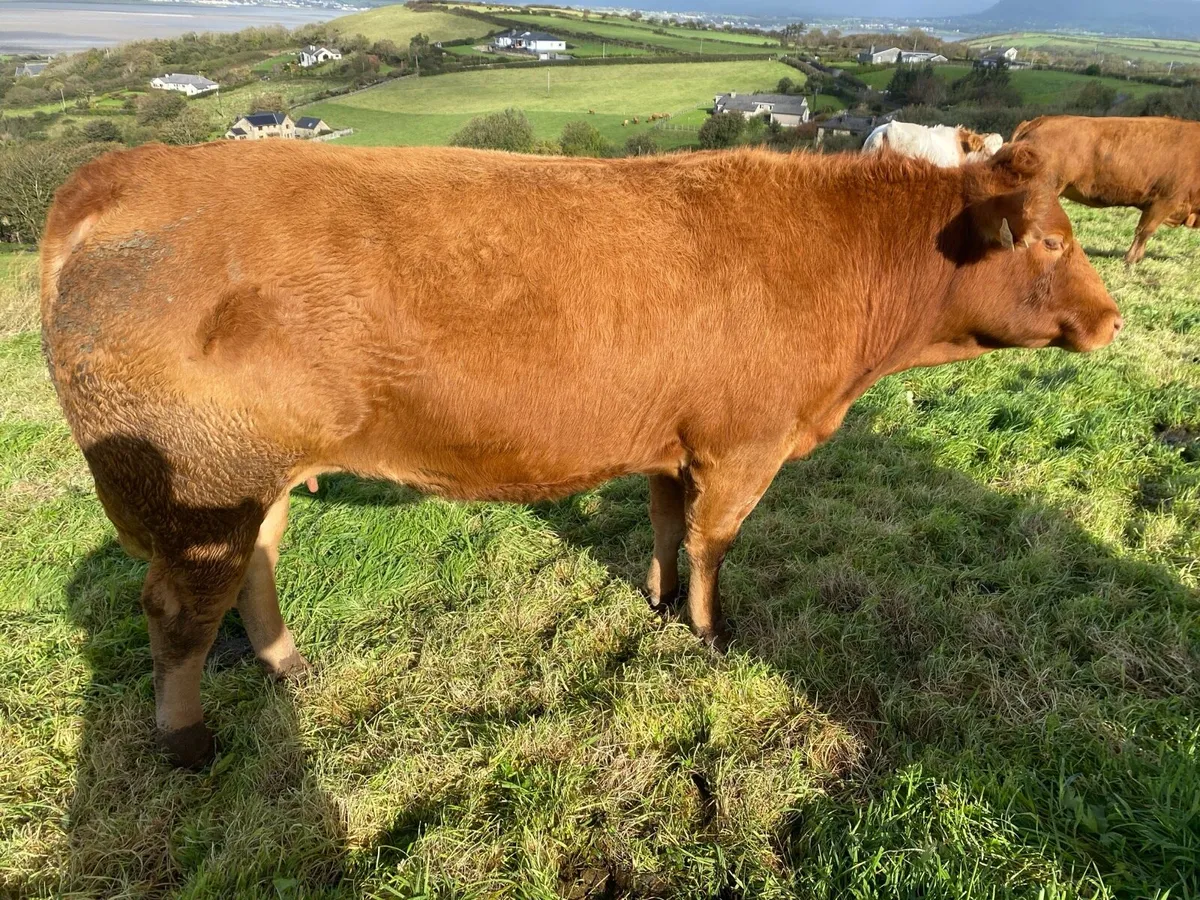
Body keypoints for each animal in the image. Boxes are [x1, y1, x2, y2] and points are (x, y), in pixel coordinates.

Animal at [41, 141, 1122, 768]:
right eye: (1054, 244)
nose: (1112, 319)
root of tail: (124, 169)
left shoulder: (671, 442)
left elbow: (665, 526)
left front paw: (655, 599)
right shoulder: (743, 445)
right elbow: (716, 543)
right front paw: (711, 632)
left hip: (248, 482)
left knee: (254, 568)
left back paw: (287, 663)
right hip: (199, 488)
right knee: (178, 611)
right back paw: (186, 740)